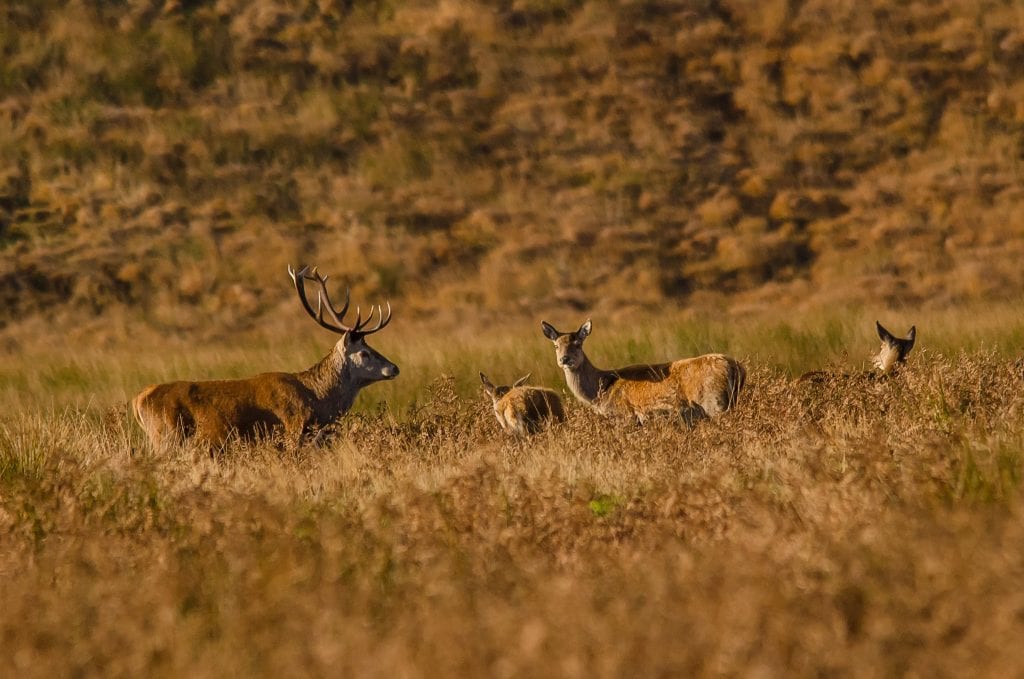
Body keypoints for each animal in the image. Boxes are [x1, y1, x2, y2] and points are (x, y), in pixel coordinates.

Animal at [132, 266, 399, 452]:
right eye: (364, 352)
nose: (394, 368)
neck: (318, 401)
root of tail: (139, 398)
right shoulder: (292, 429)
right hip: (165, 437)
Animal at [540, 319, 745, 426]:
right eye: (556, 345)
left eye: (577, 344)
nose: (564, 359)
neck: (601, 393)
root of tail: (736, 367)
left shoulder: (624, 416)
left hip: (715, 402)